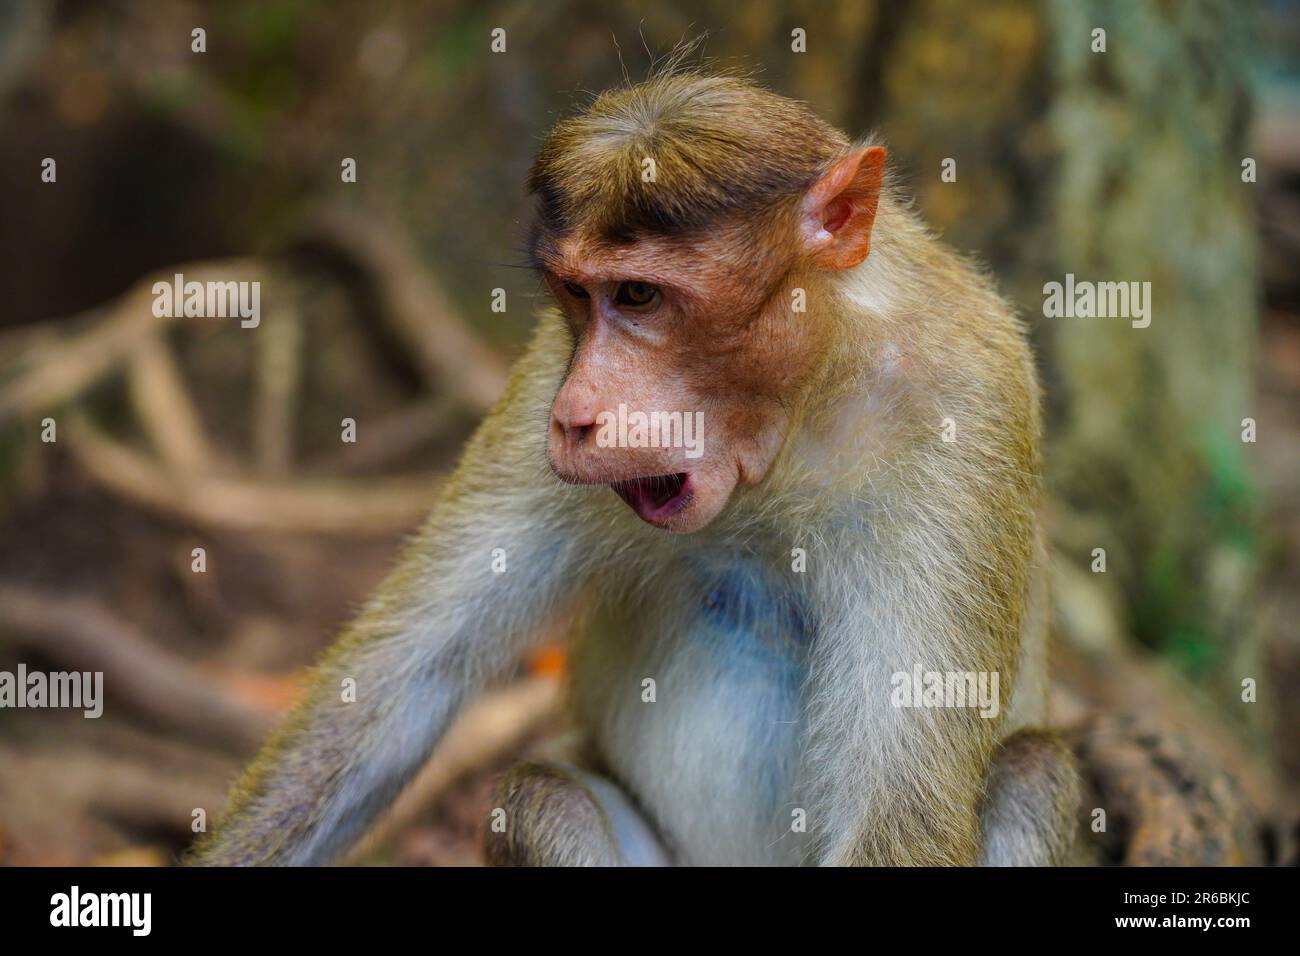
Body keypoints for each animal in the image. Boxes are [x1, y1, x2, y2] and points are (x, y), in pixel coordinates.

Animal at [190, 68, 1079, 867]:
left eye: (640, 296)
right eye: (576, 295)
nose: (573, 415)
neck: (795, 422)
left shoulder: (969, 405)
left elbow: (898, 812)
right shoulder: (546, 371)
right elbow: (395, 688)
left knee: (1034, 774)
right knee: (540, 797)